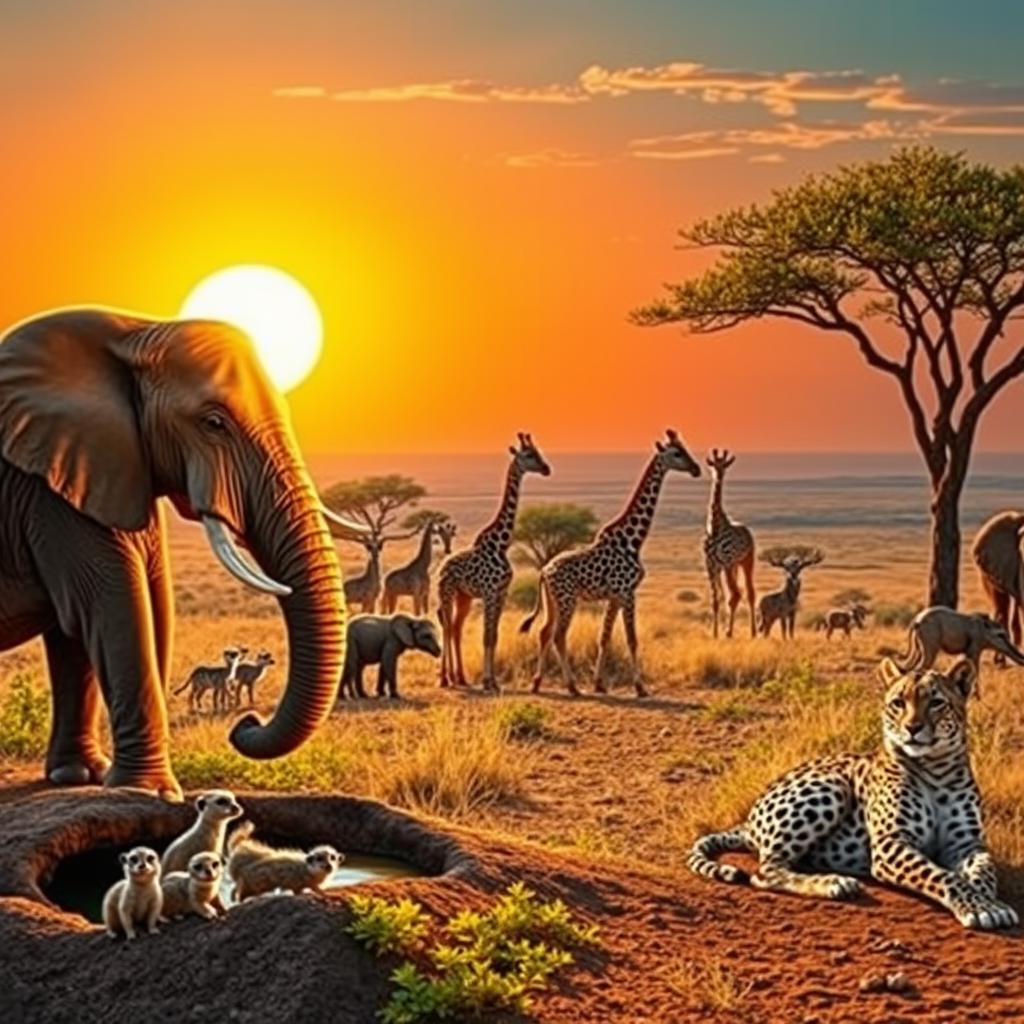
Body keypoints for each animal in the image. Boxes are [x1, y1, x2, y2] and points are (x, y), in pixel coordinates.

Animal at [0, 307, 367, 799]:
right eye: (213, 423)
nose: (245, 726)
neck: (134, 330)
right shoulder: (46, 495)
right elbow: (112, 609)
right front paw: (145, 793)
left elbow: (105, 621)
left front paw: (79, 778)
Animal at [437, 434, 550, 691]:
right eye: (529, 455)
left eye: (538, 452)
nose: (546, 469)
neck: (501, 544)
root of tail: (441, 568)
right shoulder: (489, 593)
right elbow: (486, 636)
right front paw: (488, 681)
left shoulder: (501, 593)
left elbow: (494, 636)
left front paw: (494, 681)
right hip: (447, 593)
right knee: (447, 627)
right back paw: (445, 678)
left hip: (464, 597)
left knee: (456, 628)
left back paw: (460, 677)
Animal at [521, 430, 701, 697]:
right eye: (677, 452)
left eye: (685, 449)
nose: (696, 468)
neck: (633, 540)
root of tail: (544, 570)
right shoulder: (628, 593)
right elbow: (632, 639)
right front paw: (640, 688)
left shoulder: (614, 597)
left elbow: (604, 637)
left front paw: (600, 684)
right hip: (567, 600)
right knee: (558, 636)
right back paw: (572, 686)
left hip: (552, 601)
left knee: (544, 633)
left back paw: (537, 683)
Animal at [689, 656, 1019, 931]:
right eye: (898, 703)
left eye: (936, 702)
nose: (912, 728)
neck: (936, 769)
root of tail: (748, 820)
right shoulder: (890, 843)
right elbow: (944, 876)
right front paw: (979, 906)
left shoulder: (966, 843)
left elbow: (985, 871)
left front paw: (987, 899)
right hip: (833, 784)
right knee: (766, 871)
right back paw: (834, 882)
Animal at [703, 449, 756, 639]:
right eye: (713, 466)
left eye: (725, 466)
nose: (719, 477)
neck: (715, 527)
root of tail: (747, 530)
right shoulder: (711, 565)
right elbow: (716, 599)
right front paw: (715, 633)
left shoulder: (725, 562)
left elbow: (733, 596)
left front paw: (727, 632)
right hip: (733, 566)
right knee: (734, 594)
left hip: (746, 561)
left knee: (747, 593)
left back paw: (752, 632)